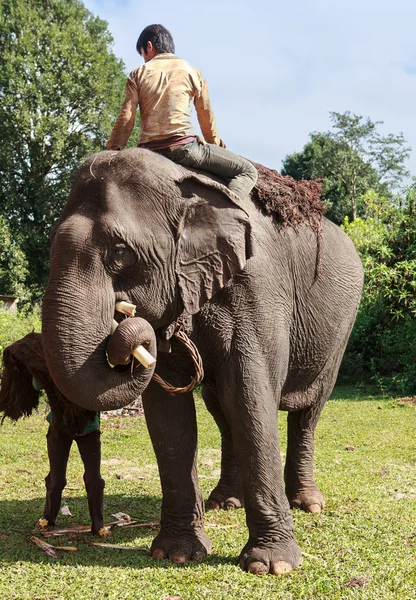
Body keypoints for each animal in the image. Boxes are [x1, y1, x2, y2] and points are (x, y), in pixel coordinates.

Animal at [40, 148, 362, 576]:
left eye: (120, 252)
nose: (125, 318)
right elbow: (169, 416)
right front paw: (176, 554)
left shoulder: (257, 289)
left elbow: (251, 395)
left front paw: (272, 566)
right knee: (222, 409)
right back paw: (225, 502)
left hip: (340, 328)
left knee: (308, 411)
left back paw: (307, 503)